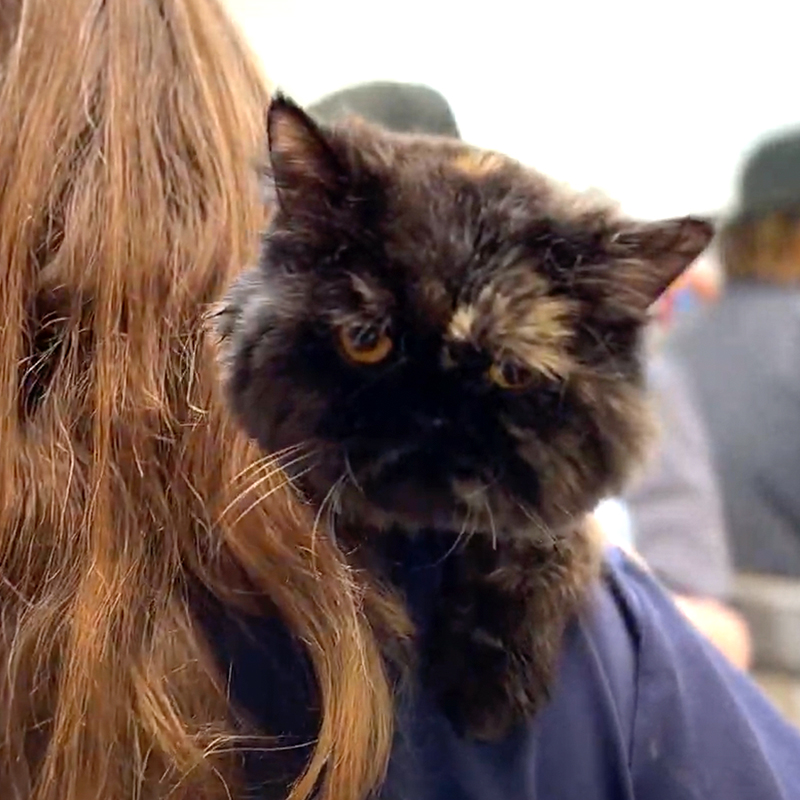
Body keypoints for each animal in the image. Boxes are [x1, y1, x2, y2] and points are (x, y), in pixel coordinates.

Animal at [214, 95, 712, 744]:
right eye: (366, 341)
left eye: (510, 372)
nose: (431, 415)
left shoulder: (565, 519)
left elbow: (539, 547)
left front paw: (490, 682)